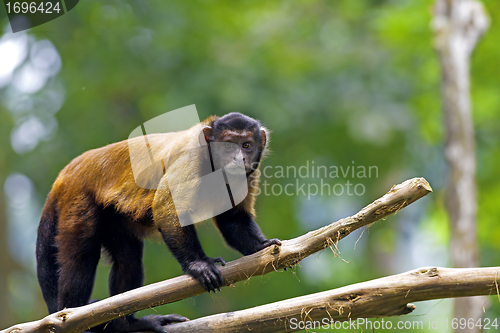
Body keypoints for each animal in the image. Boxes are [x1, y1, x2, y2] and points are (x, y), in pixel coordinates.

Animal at [36, 112, 282, 332]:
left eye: (247, 145)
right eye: (229, 146)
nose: (238, 158)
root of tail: (68, 172)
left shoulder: (249, 173)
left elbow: (233, 218)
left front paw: (261, 246)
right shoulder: (192, 158)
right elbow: (167, 208)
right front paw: (199, 264)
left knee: (128, 260)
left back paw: (126, 325)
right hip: (78, 197)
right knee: (82, 258)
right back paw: (73, 317)